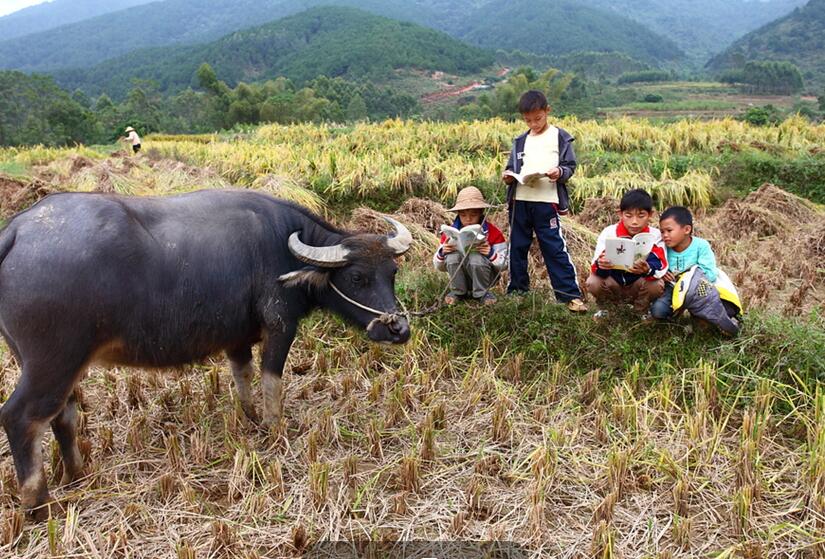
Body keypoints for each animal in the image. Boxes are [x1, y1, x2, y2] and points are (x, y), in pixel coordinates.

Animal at [0, 189, 412, 520]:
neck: (282, 247)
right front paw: (274, 428)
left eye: (392, 272)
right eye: (357, 278)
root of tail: (17, 230)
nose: (399, 329)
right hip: (52, 364)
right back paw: (38, 505)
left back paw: (77, 473)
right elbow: (272, 379)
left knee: (63, 415)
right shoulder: (280, 327)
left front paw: (251, 418)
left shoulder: (237, 336)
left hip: (53, 365)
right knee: (20, 417)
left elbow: (243, 375)